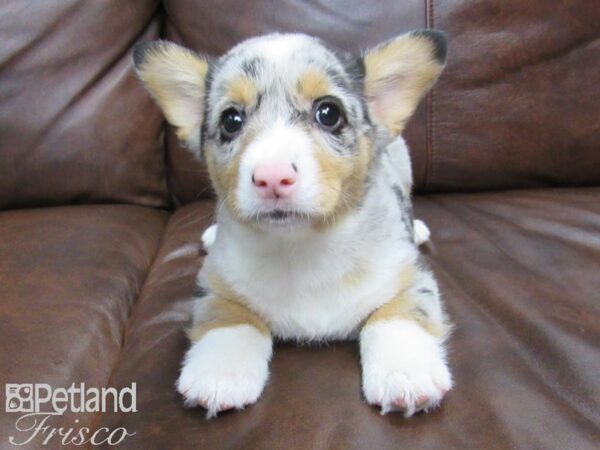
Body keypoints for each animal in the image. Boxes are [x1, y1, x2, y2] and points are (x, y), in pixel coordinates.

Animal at [132, 30, 450, 418]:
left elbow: (400, 312)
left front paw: (406, 371)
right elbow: (229, 315)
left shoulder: (411, 276)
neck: (301, 246)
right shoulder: (214, 281)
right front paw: (220, 370)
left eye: (328, 113)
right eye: (231, 120)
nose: (272, 176)